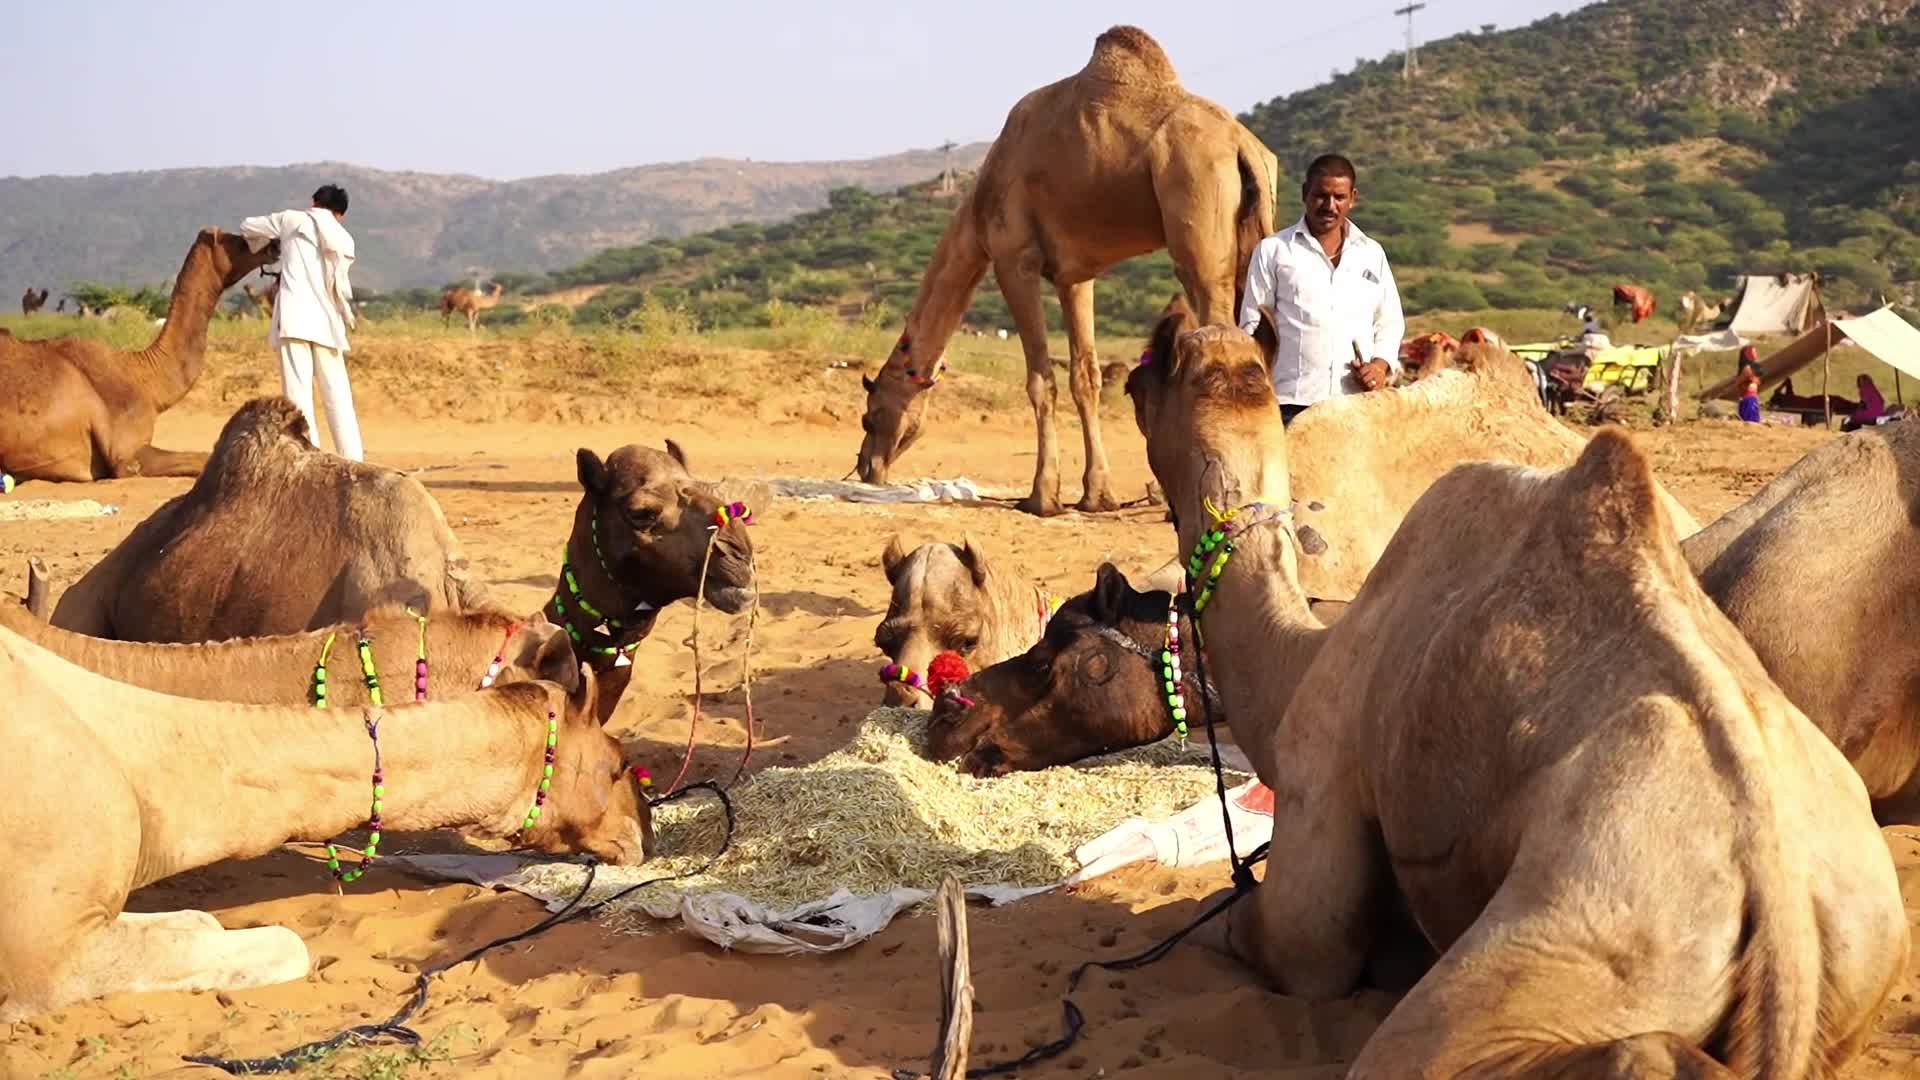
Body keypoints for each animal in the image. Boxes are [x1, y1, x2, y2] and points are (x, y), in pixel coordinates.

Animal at [853, 26, 1279, 516]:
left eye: (869, 415)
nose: (866, 466)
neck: (977, 210)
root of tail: (1243, 146)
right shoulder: (1075, 273)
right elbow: (1084, 377)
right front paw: (1098, 495)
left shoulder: (1013, 258)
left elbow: (1042, 381)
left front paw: (1042, 496)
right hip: (1253, 231)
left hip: (1199, 219)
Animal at [1110, 305, 1907, 1075]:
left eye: (1141, 378)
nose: (1129, 379)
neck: (1303, 654)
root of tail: (1786, 919)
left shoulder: (1315, 776)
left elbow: (1284, 938)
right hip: (1862, 951)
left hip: (1590, 921)